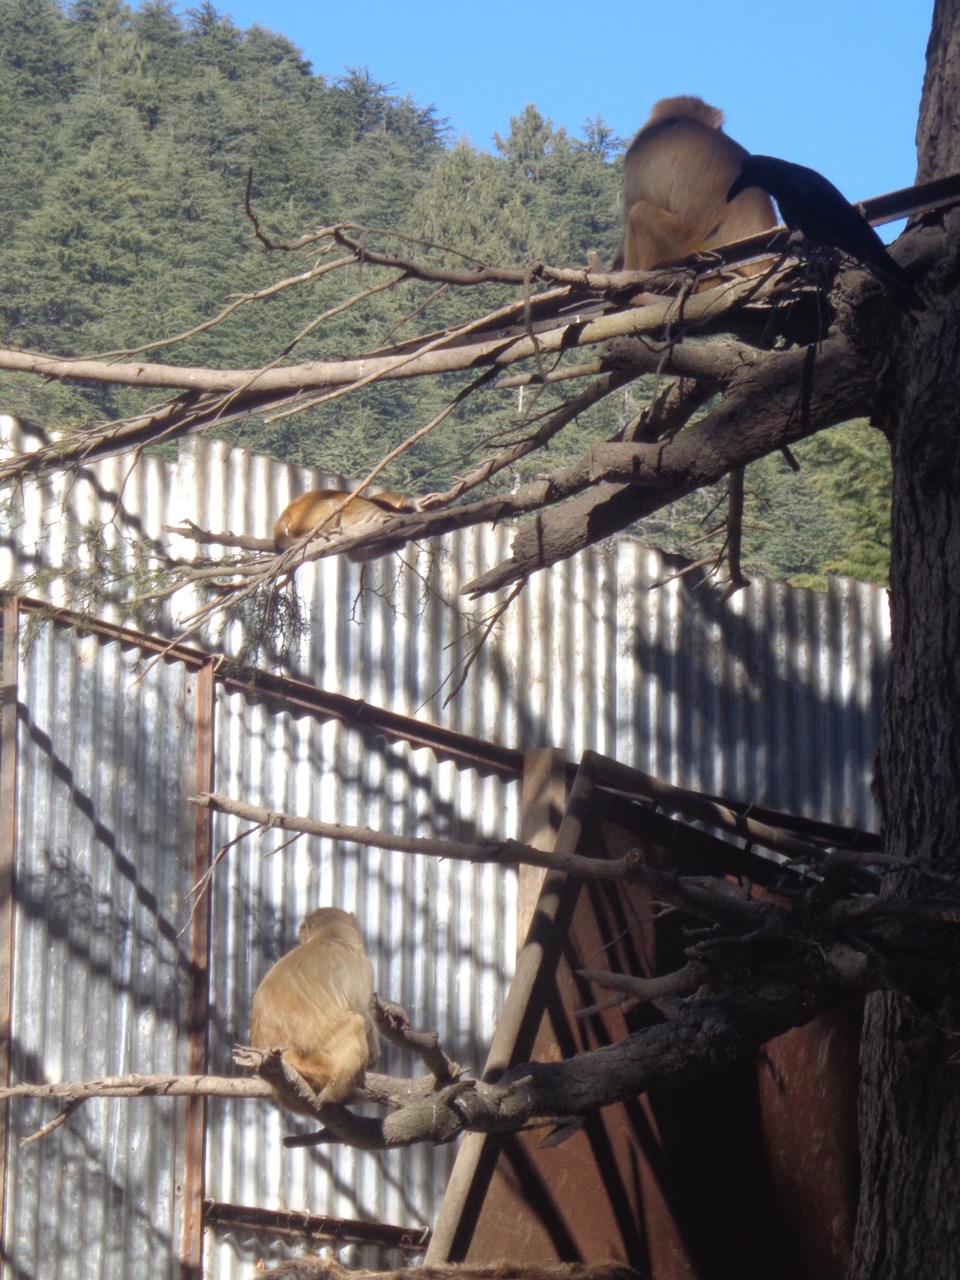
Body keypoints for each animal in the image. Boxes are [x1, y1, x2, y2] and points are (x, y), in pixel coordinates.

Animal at [250, 907, 379, 1112]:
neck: (331, 935)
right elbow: (364, 1015)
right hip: (320, 1061)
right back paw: (335, 1093)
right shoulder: (361, 963)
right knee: (356, 1023)